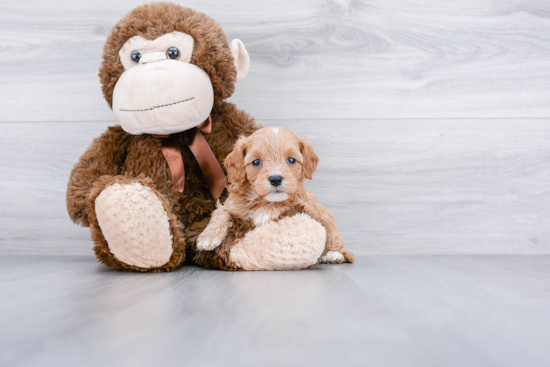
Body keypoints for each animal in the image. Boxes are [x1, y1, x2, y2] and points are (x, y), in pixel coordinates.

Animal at [196, 126, 356, 264]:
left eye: (291, 160)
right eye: (256, 162)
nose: (275, 179)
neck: (258, 200)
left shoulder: (305, 204)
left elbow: (287, 202)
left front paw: (263, 213)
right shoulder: (231, 205)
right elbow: (220, 213)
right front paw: (208, 237)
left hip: (330, 226)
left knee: (337, 244)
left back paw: (333, 255)